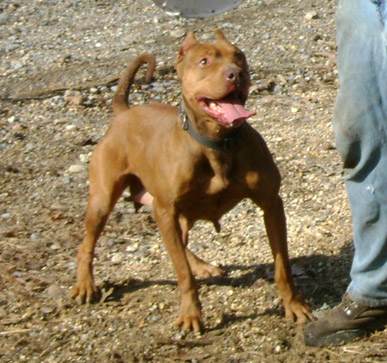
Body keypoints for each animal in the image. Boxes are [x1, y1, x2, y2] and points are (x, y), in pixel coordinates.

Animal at [72, 31, 312, 332]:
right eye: (204, 61)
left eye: (239, 56)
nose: (235, 74)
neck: (218, 142)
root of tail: (124, 112)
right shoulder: (166, 210)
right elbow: (183, 275)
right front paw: (190, 314)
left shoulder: (271, 204)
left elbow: (282, 265)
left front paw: (294, 305)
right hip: (103, 201)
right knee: (87, 244)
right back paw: (85, 285)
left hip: (179, 216)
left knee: (181, 244)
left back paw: (201, 265)